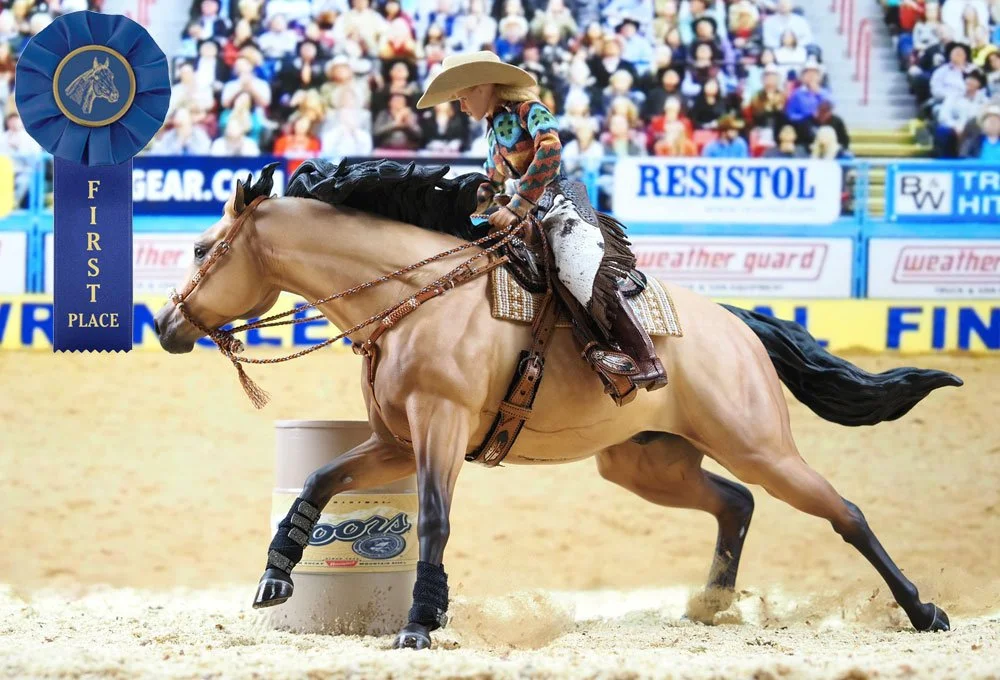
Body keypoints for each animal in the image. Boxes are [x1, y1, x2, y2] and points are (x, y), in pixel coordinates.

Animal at [154, 165, 961, 650]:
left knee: (843, 512)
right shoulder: (396, 441)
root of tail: (736, 324)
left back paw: (923, 612)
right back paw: (712, 606)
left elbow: (434, 520)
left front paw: (421, 624)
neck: (415, 296)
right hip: (647, 464)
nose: (164, 325)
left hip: (761, 447)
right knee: (736, 503)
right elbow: (321, 480)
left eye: (198, 248)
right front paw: (277, 573)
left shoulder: (440, 430)